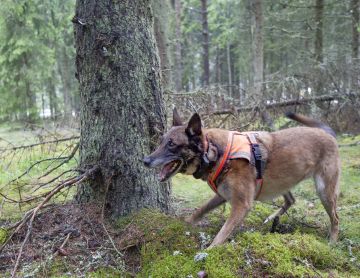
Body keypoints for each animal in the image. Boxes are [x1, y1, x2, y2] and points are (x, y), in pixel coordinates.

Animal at [142, 109, 338, 248]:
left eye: (172, 144)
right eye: (161, 141)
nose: (145, 160)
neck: (214, 151)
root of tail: (327, 133)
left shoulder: (241, 205)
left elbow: (221, 235)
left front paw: (208, 253)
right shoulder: (221, 195)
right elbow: (200, 210)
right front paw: (186, 223)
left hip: (324, 191)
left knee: (335, 219)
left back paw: (332, 243)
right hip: (283, 183)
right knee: (291, 199)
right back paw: (272, 218)